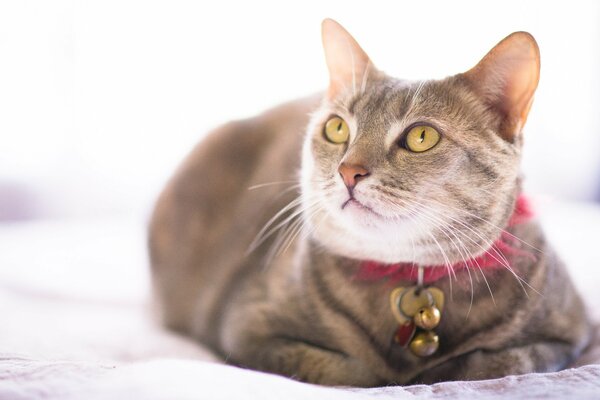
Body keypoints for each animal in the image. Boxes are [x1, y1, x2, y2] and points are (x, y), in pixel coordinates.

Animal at [149, 19, 592, 388]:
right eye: (336, 128)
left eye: (421, 137)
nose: (348, 171)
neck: (407, 279)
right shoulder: (247, 325)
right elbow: (343, 367)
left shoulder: (576, 334)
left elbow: (499, 361)